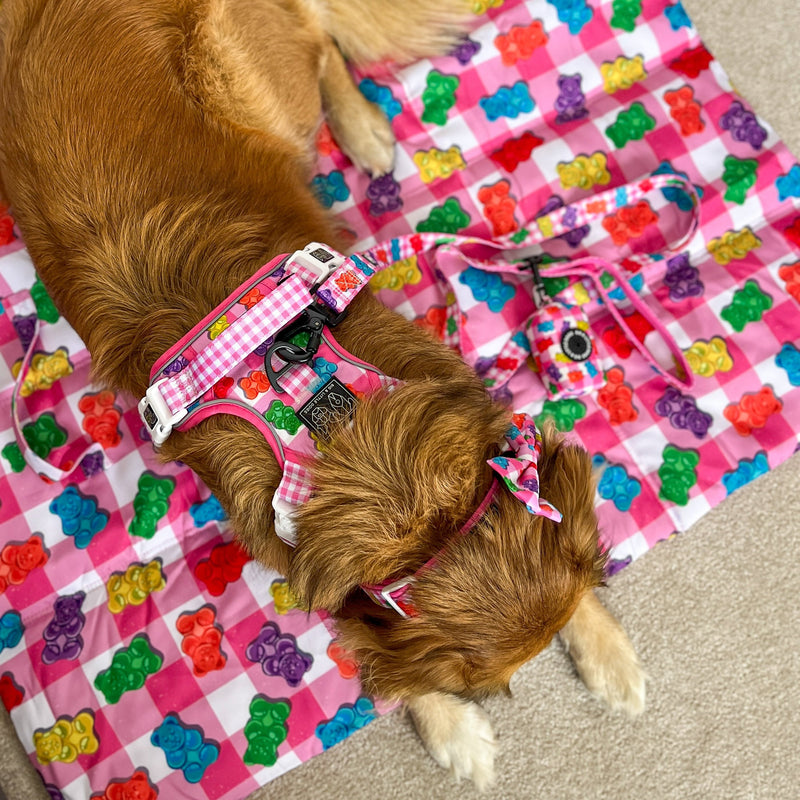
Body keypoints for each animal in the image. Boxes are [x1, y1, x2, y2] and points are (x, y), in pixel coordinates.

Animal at [0, 0, 644, 788]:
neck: (325, 421)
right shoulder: (291, 548)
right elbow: (368, 644)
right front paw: (450, 726)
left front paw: (604, 648)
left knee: (319, 33)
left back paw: (362, 127)